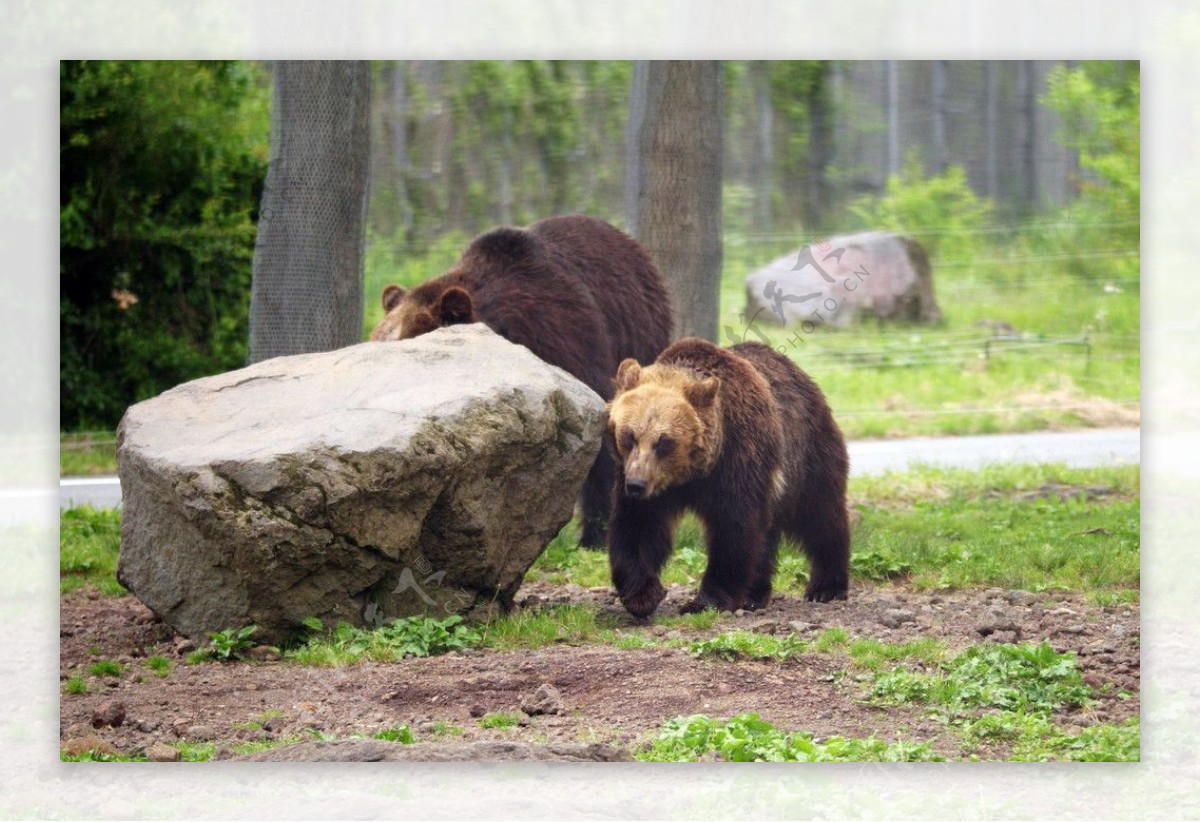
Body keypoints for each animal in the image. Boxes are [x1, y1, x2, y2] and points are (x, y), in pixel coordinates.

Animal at [604, 336, 849, 614]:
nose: (637, 485)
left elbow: (734, 527)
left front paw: (704, 601)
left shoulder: (737, 459)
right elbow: (637, 525)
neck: (692, 475)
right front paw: (643, 595)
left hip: (807, 454)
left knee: (820, 515)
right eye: (629, 436)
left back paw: (826, 587)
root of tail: (800, 374)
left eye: (664, 442)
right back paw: (755, 594)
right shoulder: (640, 479)